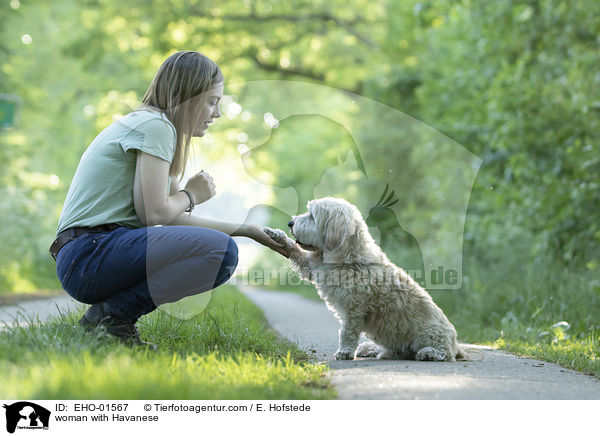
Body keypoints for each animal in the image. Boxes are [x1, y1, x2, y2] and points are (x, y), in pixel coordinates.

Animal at [264, 198, 476, 362]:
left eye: (312, 216)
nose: (290, 223)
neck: (346, 258)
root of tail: (456, 344)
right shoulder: (312, 267)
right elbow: (295, 250)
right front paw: (276, 235)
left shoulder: (353, 309)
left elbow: (347, 332)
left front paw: (345, 352)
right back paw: (369, 349)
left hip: (429, 335)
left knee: (444, 354)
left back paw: (428, 354)